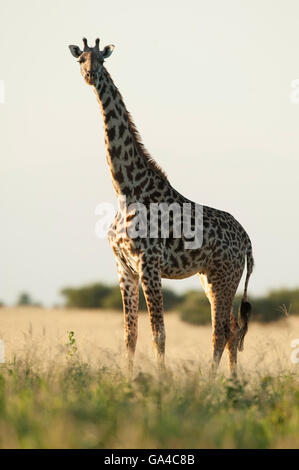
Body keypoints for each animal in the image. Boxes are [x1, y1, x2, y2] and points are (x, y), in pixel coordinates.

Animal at [69, 38, 254, 376]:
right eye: (81, 60)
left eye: (102, 60)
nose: (90, 75)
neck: (125, 190)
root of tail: (247, 240)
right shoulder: (123, 266)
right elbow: (130, 333)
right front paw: (127, 379)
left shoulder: (149, 263)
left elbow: (159, 332)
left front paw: (160, 379)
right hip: (211, 277)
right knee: (233, 329)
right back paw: (233, 380)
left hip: (224, 276)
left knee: (221, 330)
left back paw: (211, 381)